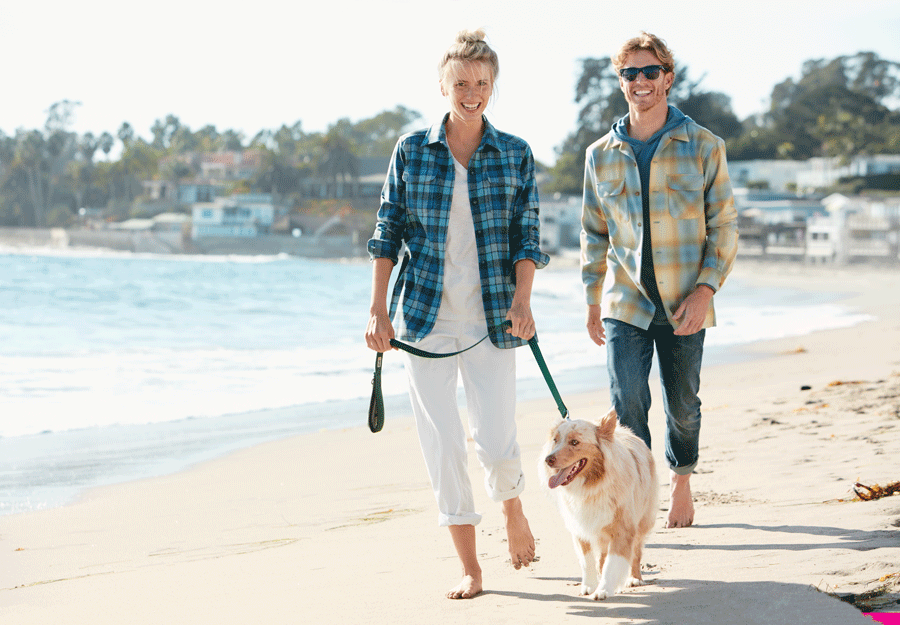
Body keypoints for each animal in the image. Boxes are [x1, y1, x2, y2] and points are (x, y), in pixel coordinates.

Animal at [536, 408, 656, 596]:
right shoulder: (580, 527)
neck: (591, 486)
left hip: (642, 520)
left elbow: (613, 563)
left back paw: (634, 578)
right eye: (555, 440)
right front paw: (590, 586)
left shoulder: (623, 528)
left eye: (575, 442)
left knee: (636, 552)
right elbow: (588, 561)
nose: (548, 459)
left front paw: (604, 589)